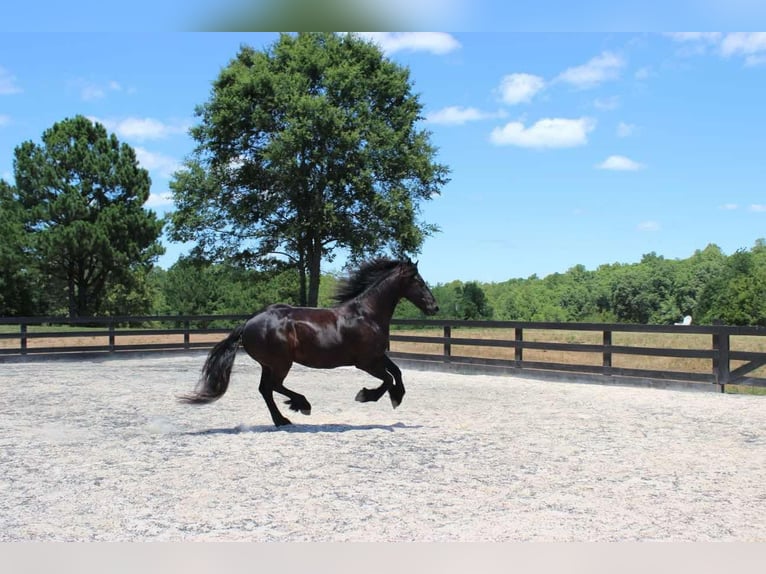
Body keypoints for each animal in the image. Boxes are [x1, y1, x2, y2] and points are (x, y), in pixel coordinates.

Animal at [179, 258, 439, 427]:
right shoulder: (366, 362)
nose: (434, 307)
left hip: (269, 364)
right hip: (281, 363)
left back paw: (283, 419)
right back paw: (301, 405)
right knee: (273, 386)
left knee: (265, 389)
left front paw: (397, 397)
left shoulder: (377, 356)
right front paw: (366, 395)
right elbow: (387, 379)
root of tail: (248, 323)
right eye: (418, 281)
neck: (366, 314)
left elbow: (397, 372)